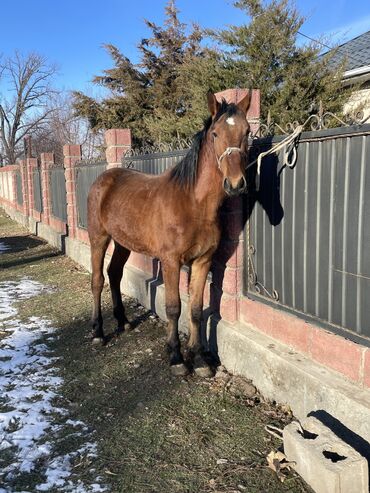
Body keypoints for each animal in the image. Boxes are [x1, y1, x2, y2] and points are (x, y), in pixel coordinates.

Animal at [87, 91, 251, 376]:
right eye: (216, 133)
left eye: (248, 131)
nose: (235, 184)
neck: (193, 203)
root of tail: (104, 179)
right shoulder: (171, 261)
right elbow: (174, 308)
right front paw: (176, 356)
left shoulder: (202, 262)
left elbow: (195, 309)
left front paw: (199, 359)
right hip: (99, 238)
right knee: (98, 280)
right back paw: (98, 333)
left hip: (123, 243)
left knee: (114, 274)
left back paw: (123, 321)